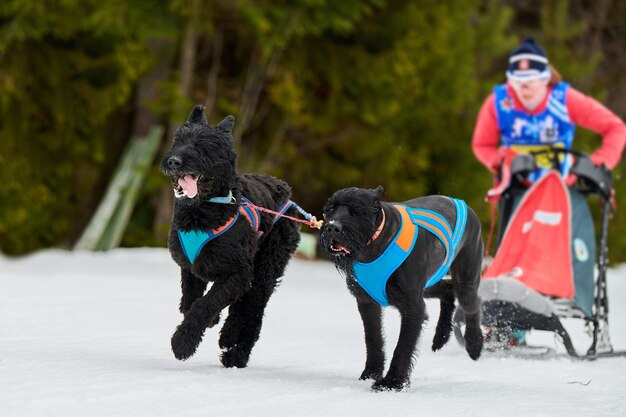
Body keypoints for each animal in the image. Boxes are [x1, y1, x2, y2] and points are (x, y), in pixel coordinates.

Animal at [160, 105, 298, 368]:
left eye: (203, 145)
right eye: (178, 141)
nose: (173, 161)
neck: (204, 211)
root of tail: (286, 192)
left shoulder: (237, 272)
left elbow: (205, 304)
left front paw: (183, 342)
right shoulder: (191, 267)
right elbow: (190, 301)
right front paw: (210, 321)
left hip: (265, 269)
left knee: (252, 311)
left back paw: (235, 350)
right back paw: (227, 336)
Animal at [320, 185, 480, 390]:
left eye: (355, 211)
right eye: (329, 210)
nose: (332, 227)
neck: (373, 245)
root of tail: (462, 203)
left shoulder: (413, 308)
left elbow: (403, 346)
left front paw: (392, 382)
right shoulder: (367, 302)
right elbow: (373, 338)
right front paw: (371, 373)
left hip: (465, 278)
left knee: (472, 303)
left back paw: (474, 344)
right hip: (427, 285)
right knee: (447, 289)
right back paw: (441, 336)